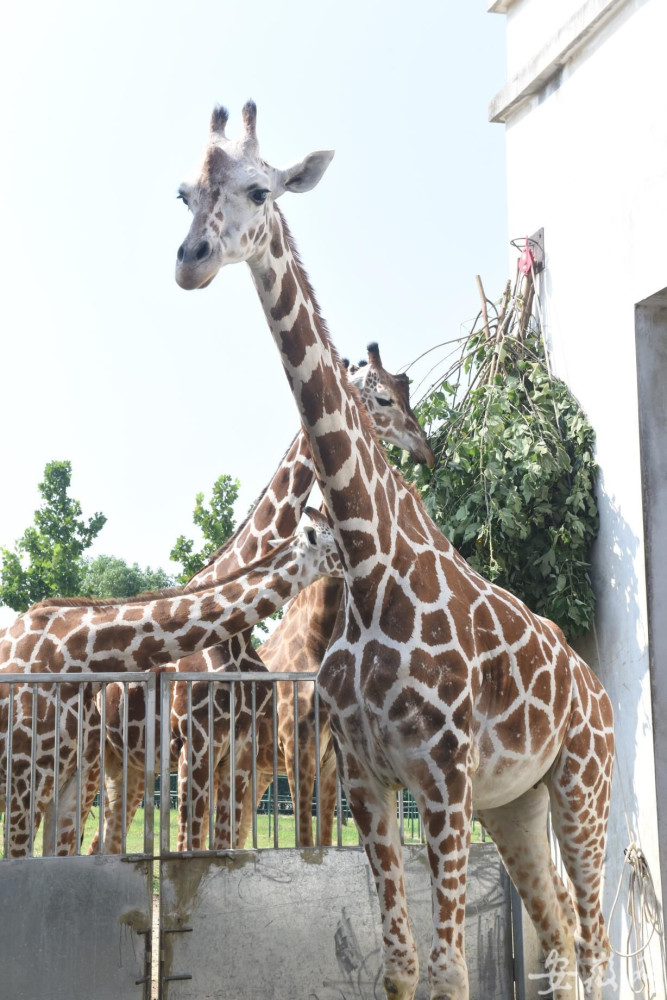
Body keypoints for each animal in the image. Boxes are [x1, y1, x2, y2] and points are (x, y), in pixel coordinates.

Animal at [174, 101, 616, 1000]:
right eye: (184, 194)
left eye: (260, 188)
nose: (191, 259)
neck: (372, 569)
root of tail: (598, 694)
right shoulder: (366, 779)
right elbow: (401, 960)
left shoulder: (442, 778)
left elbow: (449, 965)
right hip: (515, 804)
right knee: (558, 936)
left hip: (580, 787)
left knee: (591, 943)